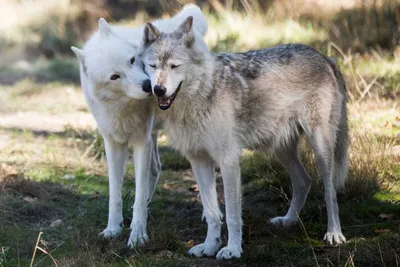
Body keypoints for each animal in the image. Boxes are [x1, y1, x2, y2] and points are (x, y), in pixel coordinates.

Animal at [70, 5, 206, 249]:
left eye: (133, 60)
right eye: (115, 76)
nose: (148, 86)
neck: (124, 107)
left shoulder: (141, 142)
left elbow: (139, 197)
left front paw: (138, 236)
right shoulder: (114, 143)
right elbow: (115, 194)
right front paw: (113, 229)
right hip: (153, 137)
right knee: (156, 168)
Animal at [142, 16, 348, 260]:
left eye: (175, 66)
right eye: (152, 66)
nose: (158, 89)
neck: (198, 96)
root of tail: (323, 56)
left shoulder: (228, 160)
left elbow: (231, 213)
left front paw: (232, 249)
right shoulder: (199, 161)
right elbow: (212, 212)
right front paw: (209, 246)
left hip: (320, 146)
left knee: (330, 192)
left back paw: (334, 233)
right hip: (281, 149)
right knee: (303, 181)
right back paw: (288, 220)